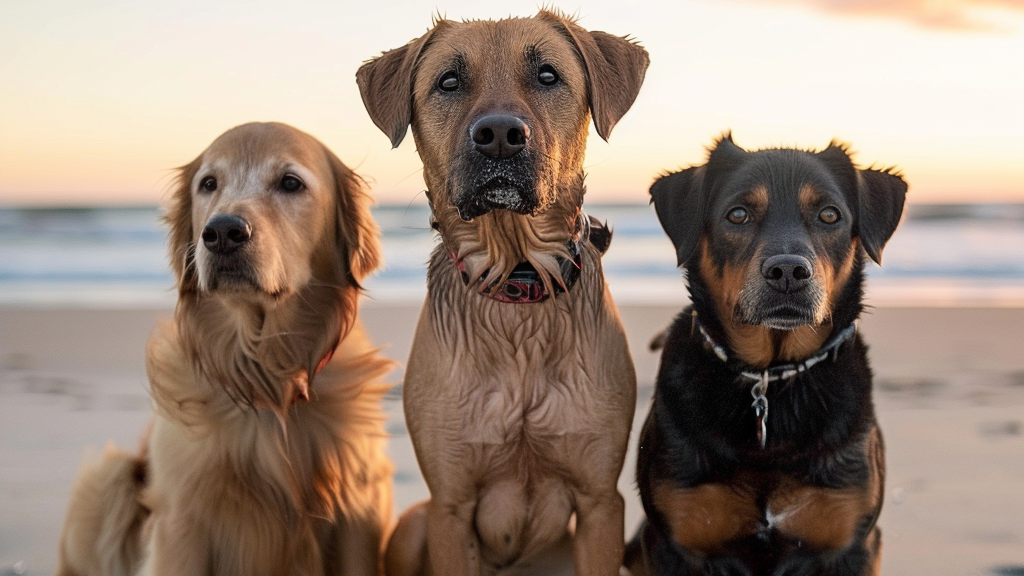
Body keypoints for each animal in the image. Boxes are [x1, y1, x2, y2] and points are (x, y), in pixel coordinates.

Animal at [52, 121, 395, 573]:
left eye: (290, 182)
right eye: (209, 183)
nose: (222, 233)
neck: (266, 377)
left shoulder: (358, 514)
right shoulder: (181, 522)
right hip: (108, 478)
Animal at [358, 8, 647, 573]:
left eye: (548, 76)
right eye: (448, 82)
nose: (498, 134)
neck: (517, 282)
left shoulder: (601, 502)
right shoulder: (449, 506)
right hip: (412, 527)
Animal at [626, 135, 909, 573]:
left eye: (830, 214)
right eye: (738, 214)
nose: (788, 271)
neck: (771, 375)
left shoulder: (850, 544)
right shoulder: (676, 544)